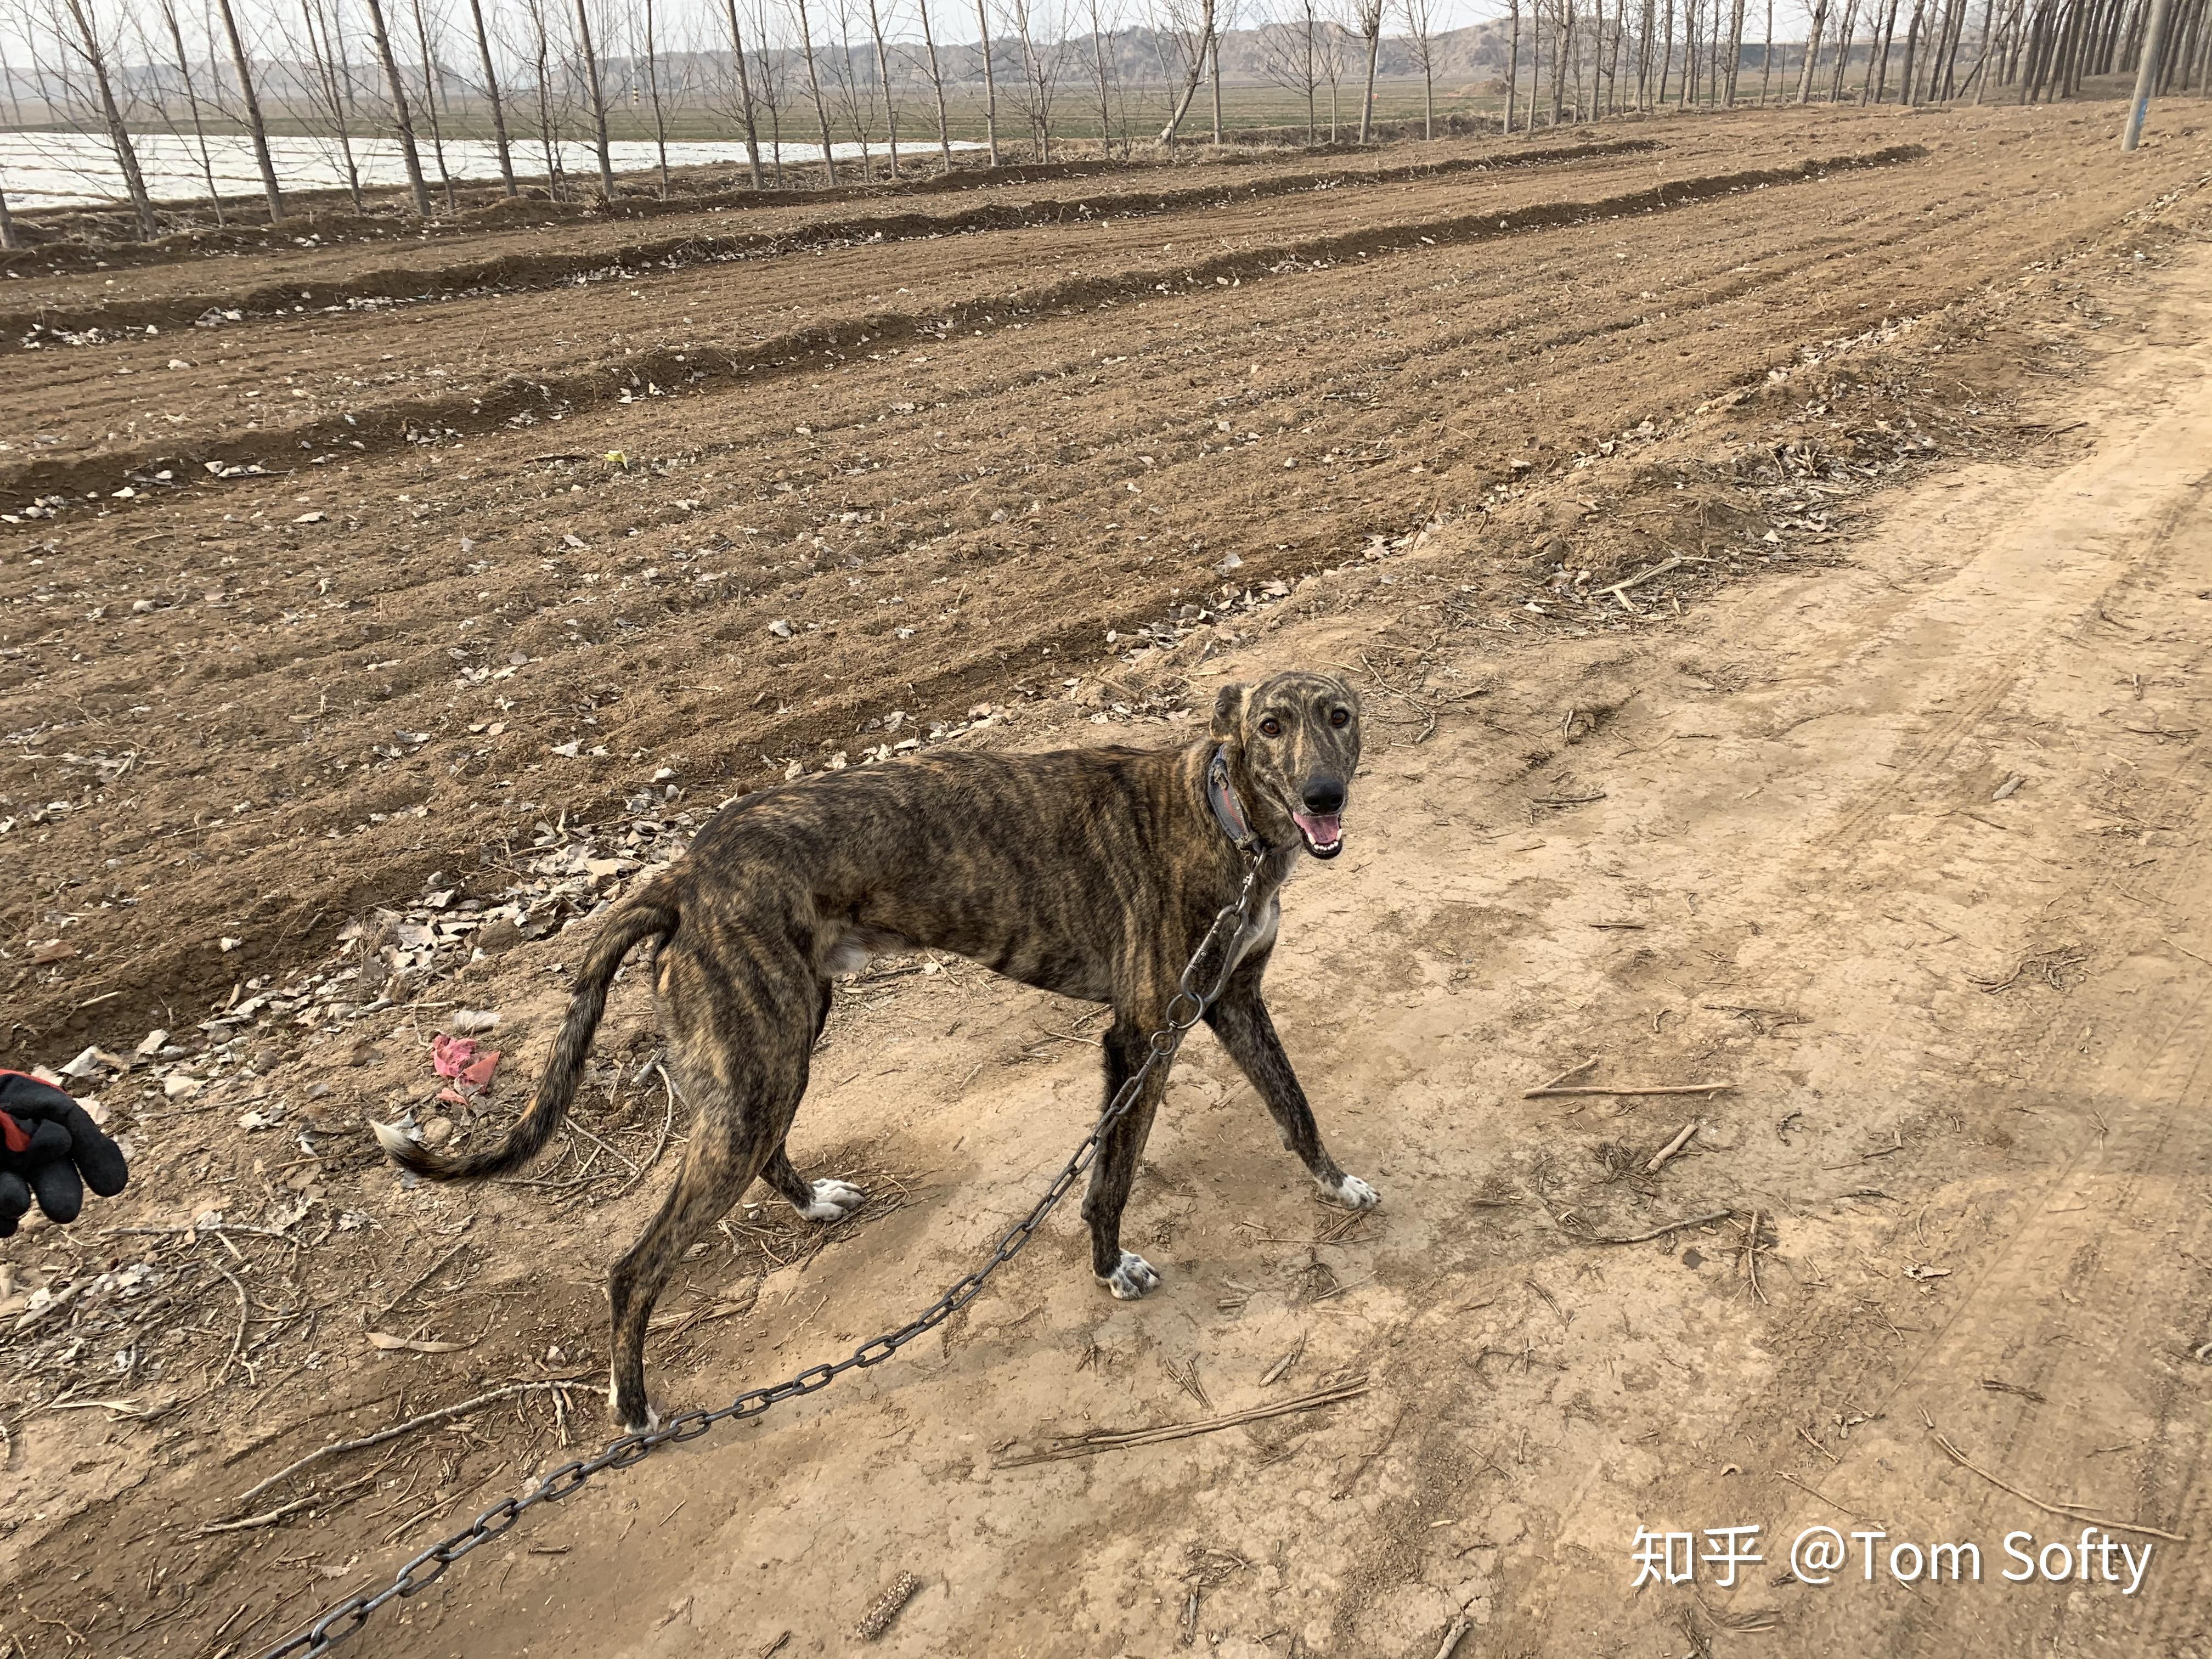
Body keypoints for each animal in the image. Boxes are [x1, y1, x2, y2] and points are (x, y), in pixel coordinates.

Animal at [382, 668, 1380, 1424]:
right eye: (1271, 726)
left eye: (1337, 715)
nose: (1324, 797)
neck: (1224, 818)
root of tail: (687, 872)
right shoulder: (1142, 1037)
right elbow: (1111, 1178)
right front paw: (1108, 1267)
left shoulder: (1236, 1003)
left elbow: (1296, 1109)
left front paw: (1339, 1183)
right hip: (760, 1065)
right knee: (635, 1269)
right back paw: (634, 1411)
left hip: (779, 1046)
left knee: (761, 1154)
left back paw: (812, 1202)